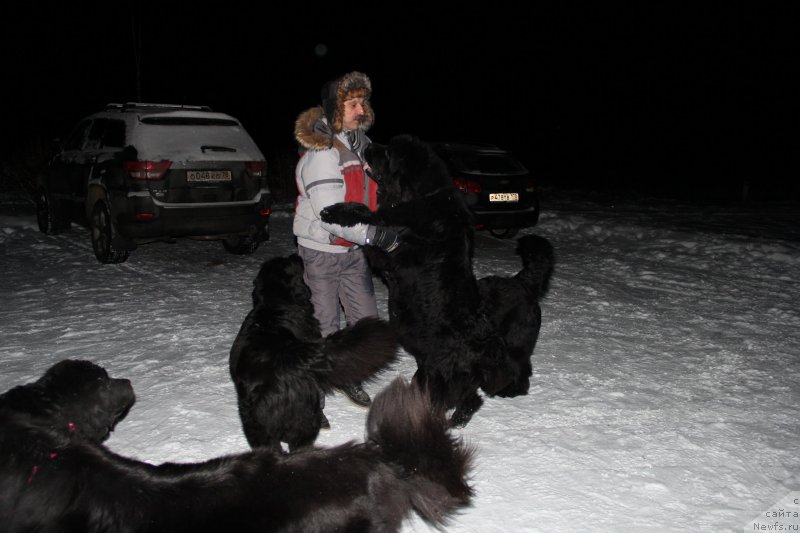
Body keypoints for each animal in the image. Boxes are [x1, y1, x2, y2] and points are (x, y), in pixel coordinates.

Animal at [230, 254, 400, 448]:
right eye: (290, 262)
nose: (296, 255)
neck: (274, 304)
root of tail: (285, 355)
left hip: (258, 425)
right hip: (305, 417)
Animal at [322, 135, 552, 426]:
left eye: (388, 152)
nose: (368, 147)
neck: (421, 196)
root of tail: (524, 283)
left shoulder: (392, 254)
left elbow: (371, 216)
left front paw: (337, 212)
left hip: (450, 368)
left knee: (476, 391)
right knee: (472, 396)